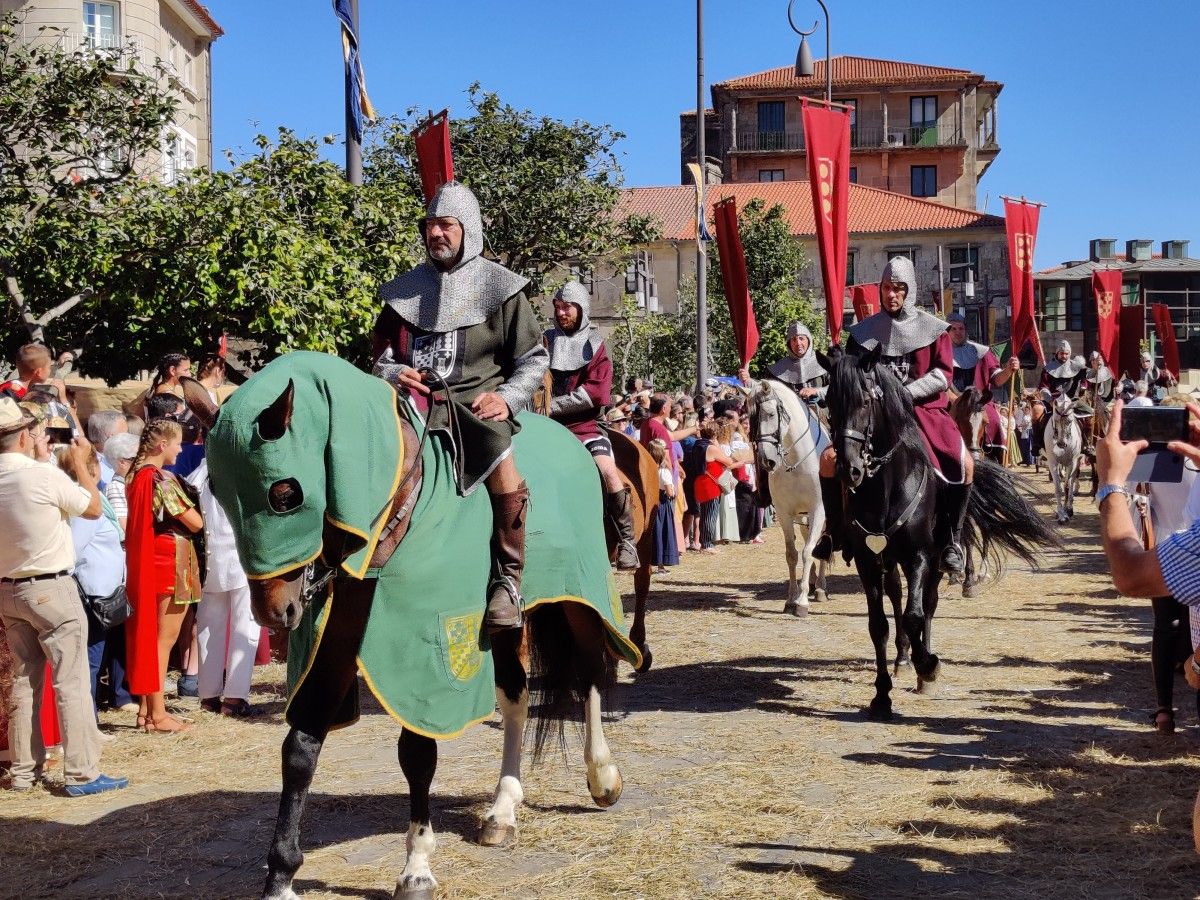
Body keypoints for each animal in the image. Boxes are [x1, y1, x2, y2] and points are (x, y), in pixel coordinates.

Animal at [744, 376, 830, 619]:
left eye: (770, 414)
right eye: (750, 418)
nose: (767, 461)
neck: (797, 462)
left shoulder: (819, 509)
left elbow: (808, 552)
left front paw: (802, 602)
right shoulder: (785, 513)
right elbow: (792, 554)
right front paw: (791, 599)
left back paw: (820, 588)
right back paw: (813, 583)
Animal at [825, 345, 1060, 720]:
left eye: (865, 401)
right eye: (829, 401)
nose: (850, 469)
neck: (885, 486)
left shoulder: (921, 556)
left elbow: (916, 614)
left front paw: (928, 665)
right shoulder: (868, 560)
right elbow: (879, 625)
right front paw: (881, 695)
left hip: (932, 556)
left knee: (928, 605)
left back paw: (921, 666)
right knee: (898, 600)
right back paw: (904, 658)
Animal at [1046, 391, 1084, 525]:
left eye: (1069, 421)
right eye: (1055, 420)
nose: (1061, 444)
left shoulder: (1072, 462)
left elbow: (1067, 486)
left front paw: (1067, 511)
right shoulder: (1052, 463)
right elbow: (1058, 488)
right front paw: (1061, 514)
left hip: (1076, 462)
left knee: (1072, 481)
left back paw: (1070, 507)